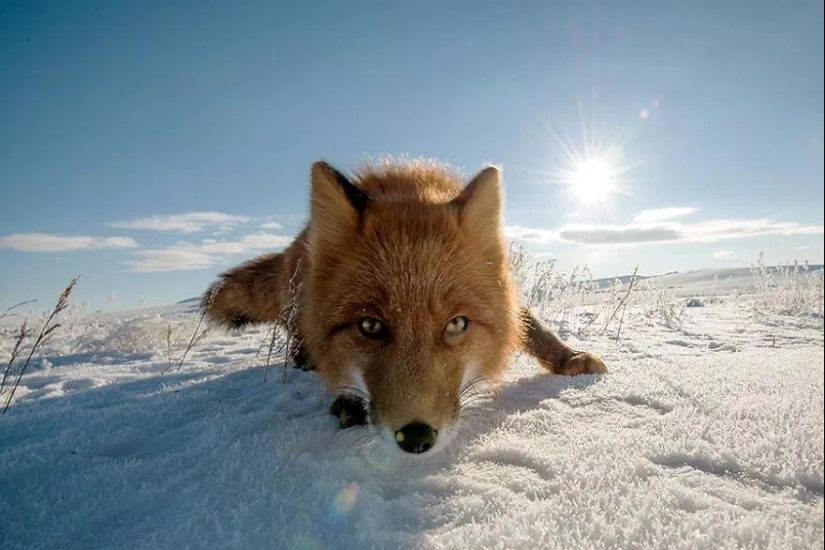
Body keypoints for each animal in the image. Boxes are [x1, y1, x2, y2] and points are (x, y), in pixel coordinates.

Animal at [203, 160, 608, 458]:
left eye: (456, 324)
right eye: (369, 326)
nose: (415, 438)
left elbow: (532, 327)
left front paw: (569, 359)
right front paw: (348, 400)